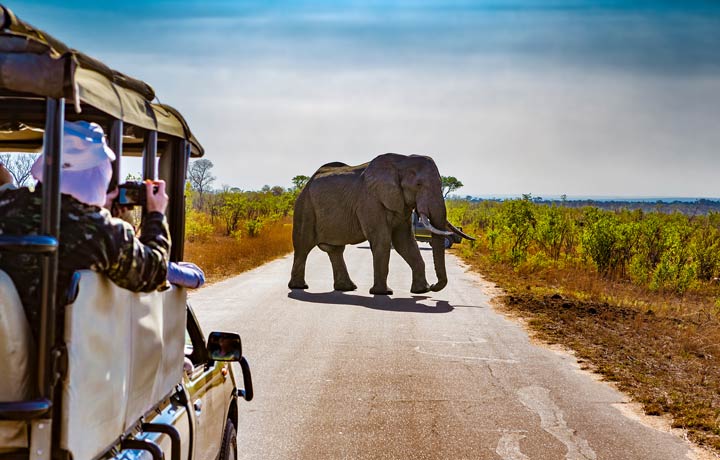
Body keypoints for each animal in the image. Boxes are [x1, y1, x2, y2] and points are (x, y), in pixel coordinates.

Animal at [286, 152, 472, 294]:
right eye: (418, 184)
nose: (434, 286)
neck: (402, 161)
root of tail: (307, 182)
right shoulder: (369, 201)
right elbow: (382, 240)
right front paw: (384, 293)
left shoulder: (401, 205)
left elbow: (405, 242)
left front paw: (421, 291)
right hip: (305, 208)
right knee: (303, 247)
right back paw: (300, 287)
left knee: (335, 250)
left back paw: (347, 288)